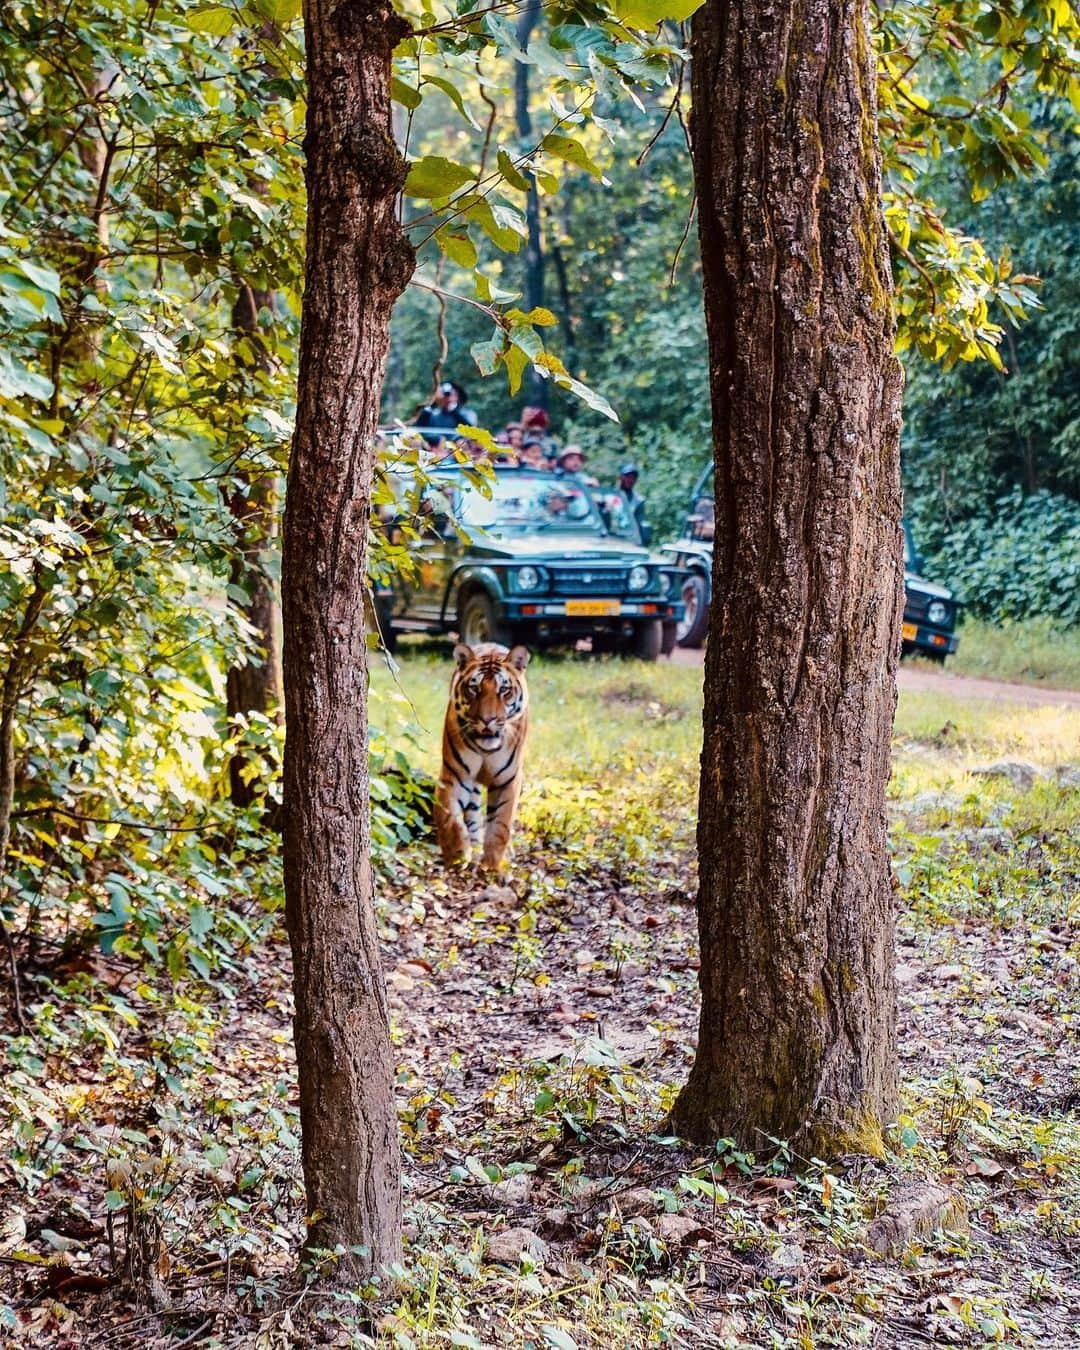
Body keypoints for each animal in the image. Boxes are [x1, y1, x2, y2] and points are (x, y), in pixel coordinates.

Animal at [432, 639, 529, 869]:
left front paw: (493, 865)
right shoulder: (454, 775)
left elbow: (501, 825)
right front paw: (457, 855)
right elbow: (448, 817)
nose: (487, 720)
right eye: (474, 688)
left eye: (504, 689)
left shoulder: (509, 780)